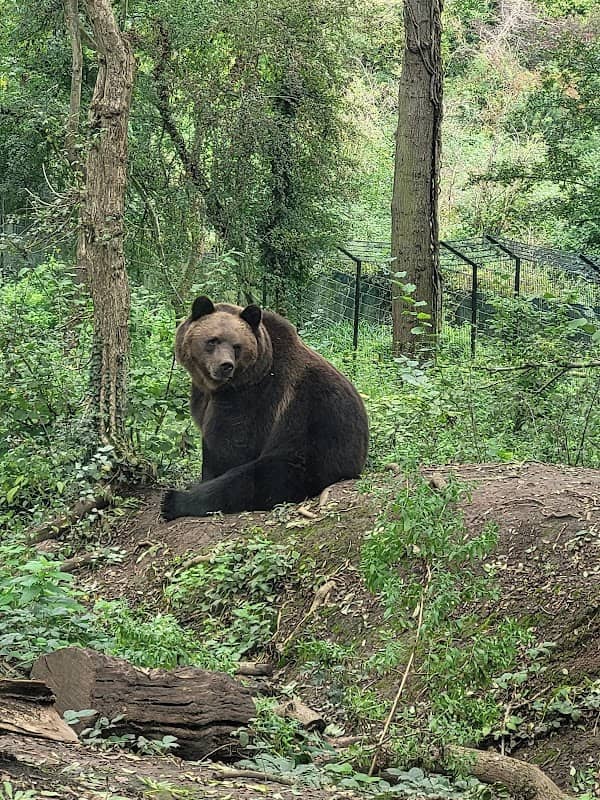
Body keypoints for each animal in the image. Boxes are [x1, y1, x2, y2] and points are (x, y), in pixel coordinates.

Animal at [160, 296, 369, 520]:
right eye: (212, 340)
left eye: (237, 346)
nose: (225, 365)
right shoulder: (204, 396)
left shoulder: (251, 399)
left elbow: (228, 447)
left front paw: (205, 477)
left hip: (314, 440)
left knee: (260, 477)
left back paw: (174, 501)